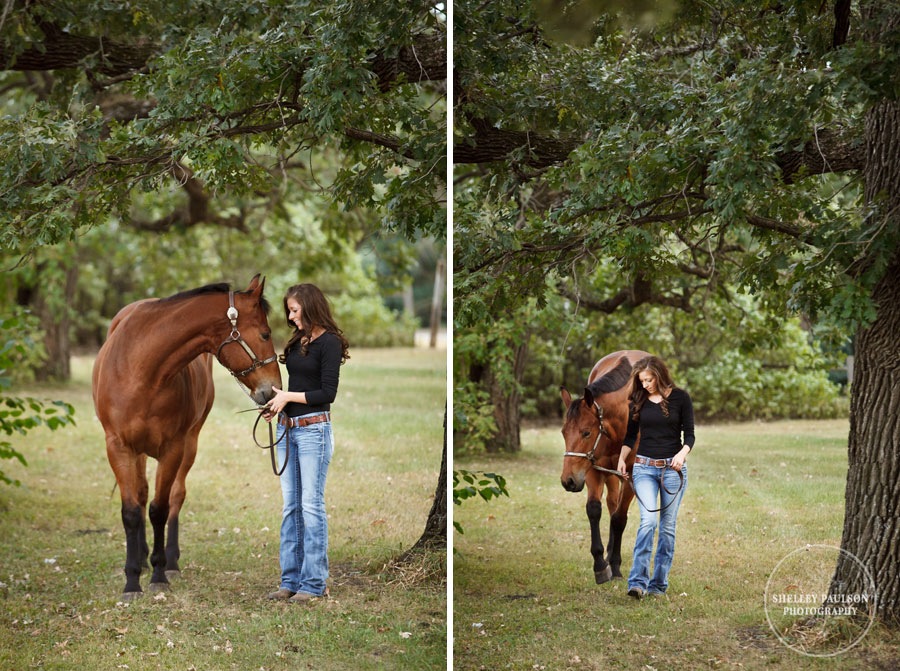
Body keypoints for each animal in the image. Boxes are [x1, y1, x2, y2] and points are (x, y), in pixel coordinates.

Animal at [92, 276, 282, 600]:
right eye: (265, 333)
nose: (273, 389)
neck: (140, 371)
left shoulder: (173, 449)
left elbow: (160, 509)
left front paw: (158, 574)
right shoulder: (118, 447)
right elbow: (132, 511)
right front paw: (132, 580)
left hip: (190, 444)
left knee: (175, 497)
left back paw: (170, 562)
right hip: (139, 452)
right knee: (141, 494)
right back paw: (141, 556)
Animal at [560, 352, 652, 584]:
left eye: (586, 432)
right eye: (563, 432)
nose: (568, 480)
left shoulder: (631, 474)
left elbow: (619, 519)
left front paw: (616, 565)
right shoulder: (593, 469)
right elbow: (595, 510)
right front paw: (601, 564)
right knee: (611, 503)